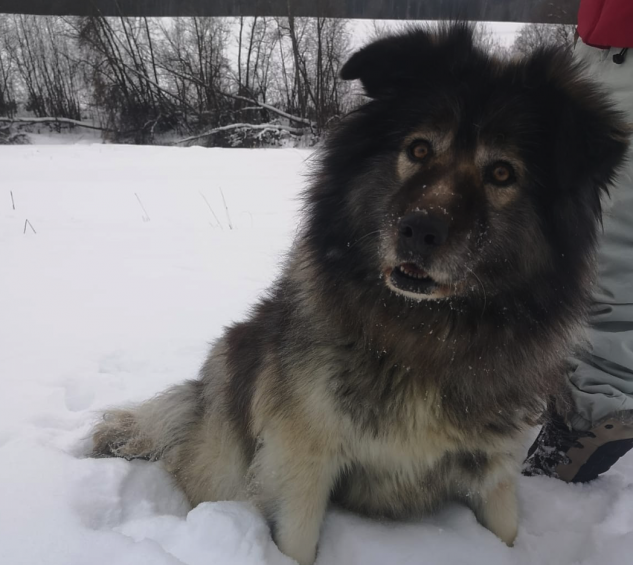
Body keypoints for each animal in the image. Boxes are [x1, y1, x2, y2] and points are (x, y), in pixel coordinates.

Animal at [91, 24, 629, 565]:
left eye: (502, 173)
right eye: (419, 150)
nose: (418, 231)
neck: (426, 337)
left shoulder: (491, 466)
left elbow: (506, 531)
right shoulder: (302, 456)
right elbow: (296, 540)